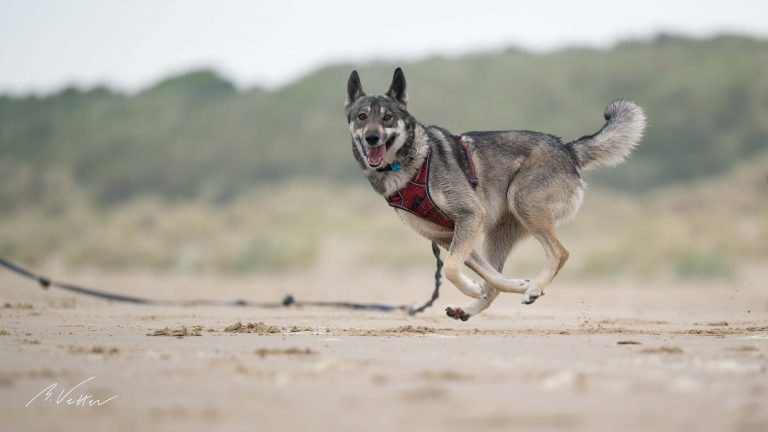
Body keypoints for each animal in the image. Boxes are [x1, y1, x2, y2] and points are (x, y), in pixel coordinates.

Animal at [344, 67, 644, 320]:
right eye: (361, 117)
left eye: (387, 117)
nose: (372, 138)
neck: (408, 163)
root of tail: (567, 150)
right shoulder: (447, 235)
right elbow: (486, 276)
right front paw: (503, 285)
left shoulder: (468, 217)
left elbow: (451, 268)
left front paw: (481, 288)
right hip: (498, 235)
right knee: (496, 281)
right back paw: (477, 306)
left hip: (523, 204)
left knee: (560, 253)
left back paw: (535, 287)